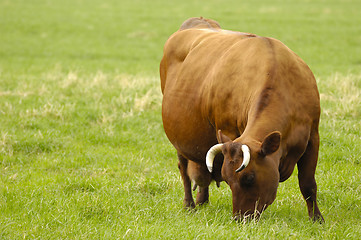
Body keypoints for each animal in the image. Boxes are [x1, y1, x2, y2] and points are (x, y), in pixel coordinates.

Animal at [159, 16, 322, 222]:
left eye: (249, 178)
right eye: (228, 180)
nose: (239, 218)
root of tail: (198, 21)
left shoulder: (313, 135)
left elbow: (308, 184)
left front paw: (317, 219)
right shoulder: (228, 130)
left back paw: (202, 200)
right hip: (178, 139)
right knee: (184, 169)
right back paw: (189, 205)